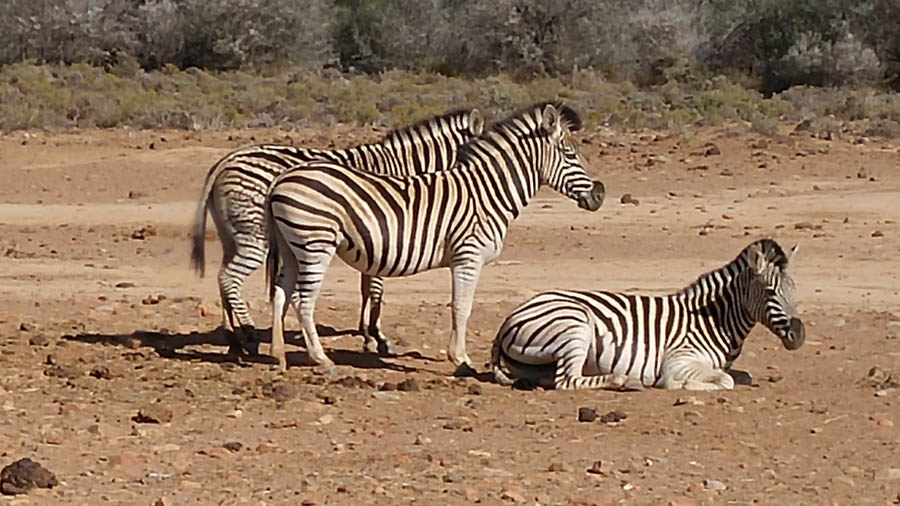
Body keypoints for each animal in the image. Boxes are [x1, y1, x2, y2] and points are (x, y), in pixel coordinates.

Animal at [190, 109, 486, 358]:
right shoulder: (386, 232)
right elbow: (376, 290)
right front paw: (379, 338)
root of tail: (225, 160)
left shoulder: (376, 239)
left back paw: (234, 339)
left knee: (222, 279)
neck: (405, 168)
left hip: (232, 236)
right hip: (255, 235)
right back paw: (249, 336)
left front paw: (368, 336)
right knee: (230, 279)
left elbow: (367, 287)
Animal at [264, 101, 608, 374]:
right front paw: (461, 359)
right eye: (570, 154)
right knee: (303, 300)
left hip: (292, 247)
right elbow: (461, 307)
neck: (487, 193)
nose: (600, 194)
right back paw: (321, 359)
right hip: (315, 243)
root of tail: (281, 179)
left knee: (280, 293)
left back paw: (278, 356)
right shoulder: (468, 256)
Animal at [492, 238, 808, 392]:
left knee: (555, 378)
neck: (715, 319)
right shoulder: (680, 360)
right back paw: (625, 381)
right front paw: (678, 385)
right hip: (575, 326)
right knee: (566, 381)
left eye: (794, 290)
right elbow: (724, 381)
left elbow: (740, 375)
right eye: (770, 292)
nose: (800, 336)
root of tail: (508, 319)